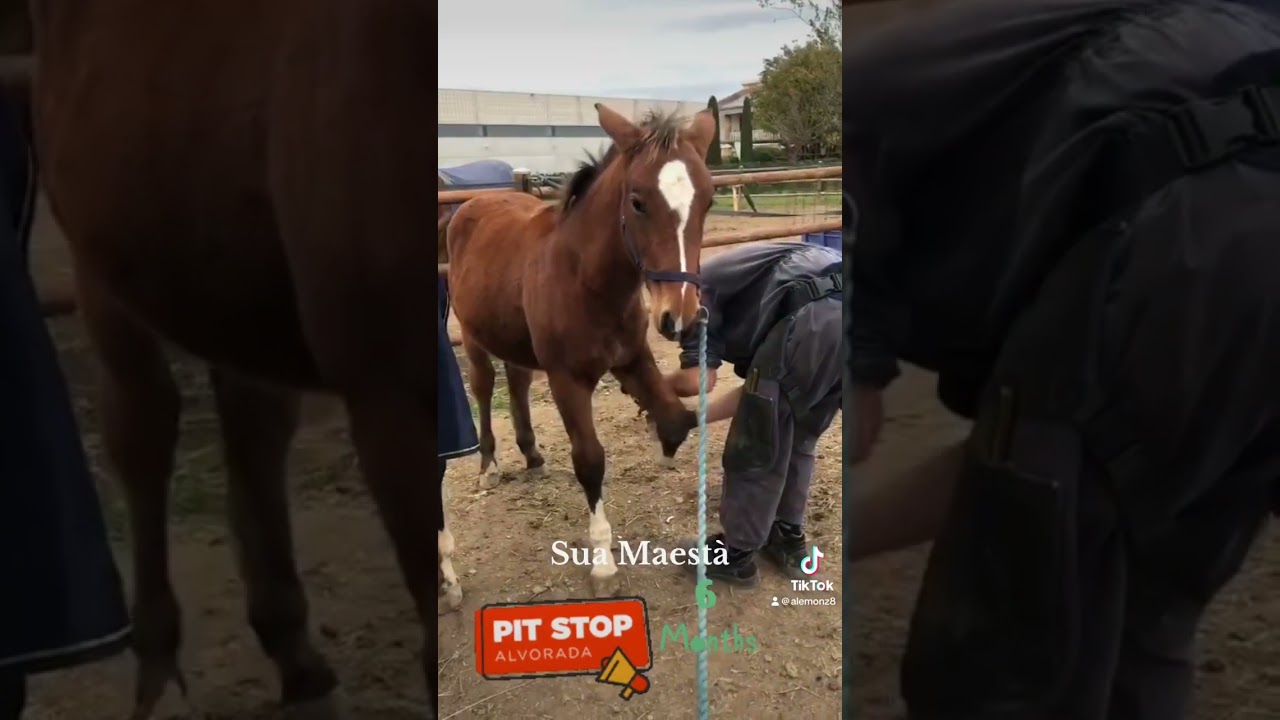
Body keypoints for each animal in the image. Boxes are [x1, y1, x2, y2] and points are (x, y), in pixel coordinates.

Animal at [29, 1, 437, 718]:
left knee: (253, 432)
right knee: (143, 431)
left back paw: (294, 656)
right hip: (101, 271)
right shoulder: (391, 396)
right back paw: (158, 661)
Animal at [443, 103, 717, 599]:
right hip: (473, 339)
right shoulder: (567, 379)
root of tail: (471, 204)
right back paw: (489, 465)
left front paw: (663, 447)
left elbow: (675, 419)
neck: (587, 280)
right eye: (637, 201)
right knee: (485, 388)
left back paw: (532, 456)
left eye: (708, 200)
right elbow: (589, 460)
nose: (679, 317)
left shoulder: (631, 359)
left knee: (517, 382)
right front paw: (604, 564)